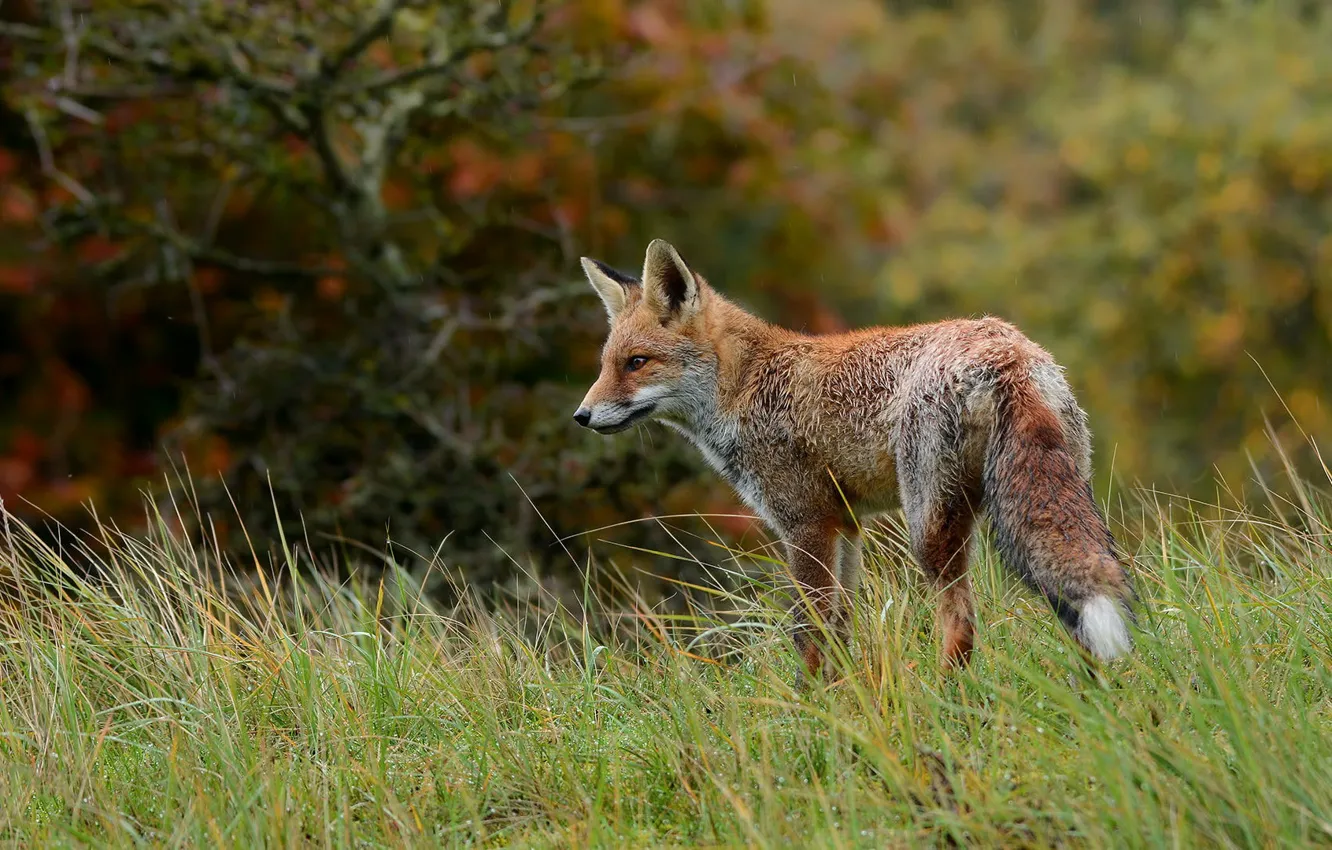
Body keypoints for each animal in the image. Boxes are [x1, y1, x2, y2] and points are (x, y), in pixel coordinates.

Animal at [572, 238, 1136, 680]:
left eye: (637, 363)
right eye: (605, 365)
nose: (582, 415)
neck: (746, 388)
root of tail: (1007, 351)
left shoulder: (806, 524)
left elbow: (810, 633)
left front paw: (814, 713)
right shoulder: (844, 525)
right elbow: (840, 631)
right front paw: (846, 702)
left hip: (929, 531)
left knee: (961, 628)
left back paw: (946, 703)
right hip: (1053, 498)